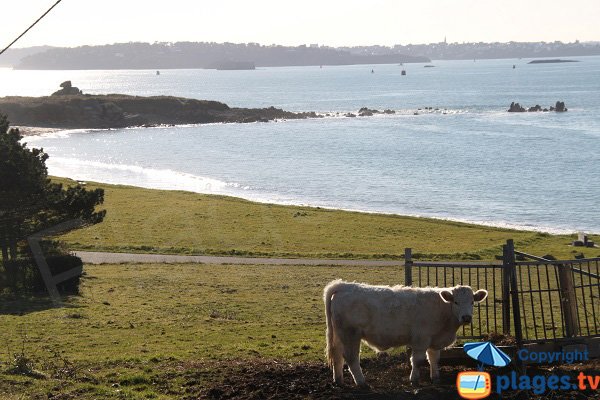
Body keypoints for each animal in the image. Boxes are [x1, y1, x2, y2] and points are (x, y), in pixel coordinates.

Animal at [324, 280, 488, 386]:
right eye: (456, 302)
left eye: (472, 302)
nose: (466, 317)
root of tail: (343, 286)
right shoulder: (421, 339)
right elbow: (418, 360)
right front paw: (414, 379)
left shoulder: (434, 340)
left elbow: (434, 359)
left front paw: (435, 378)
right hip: (350, 334)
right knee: (350, 357)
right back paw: (361, 382)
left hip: (339, 335)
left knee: (337, 355)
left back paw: (338, 380)